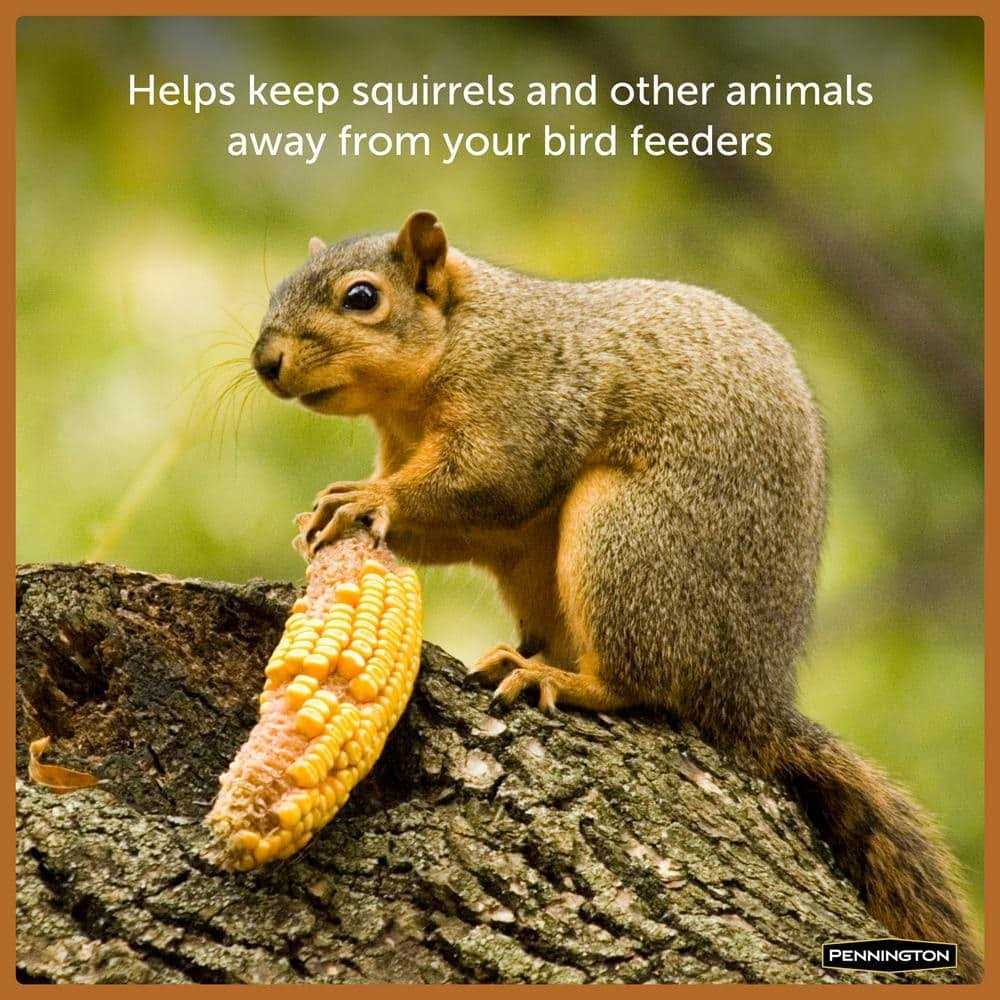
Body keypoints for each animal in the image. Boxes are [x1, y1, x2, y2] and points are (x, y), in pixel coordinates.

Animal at [252, 211, 982, 981]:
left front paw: (369, 499)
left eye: (361, 297)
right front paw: (323, 517)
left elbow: (489, 480)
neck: (454, 340)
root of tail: (752, 696)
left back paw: (558, 680)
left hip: (626, 540)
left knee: (641, 685)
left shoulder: (521, 400)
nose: (265, 361)